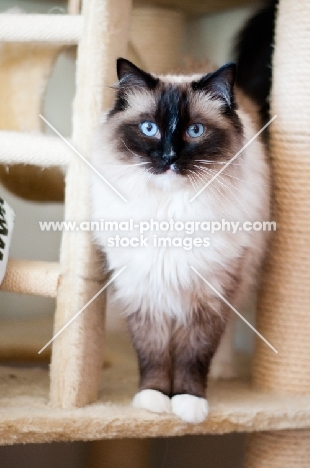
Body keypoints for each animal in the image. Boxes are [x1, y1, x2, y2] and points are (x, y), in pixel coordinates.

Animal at [91, 56, 270, 422]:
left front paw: (189, 404)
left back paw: (223, 371)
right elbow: (154, 356)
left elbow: (194, 357)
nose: (169, 157)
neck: (170, 211)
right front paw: (154, 399)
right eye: (149, 129)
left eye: (195, 131)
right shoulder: (145, 294)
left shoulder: (210, 296)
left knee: (227, 334)